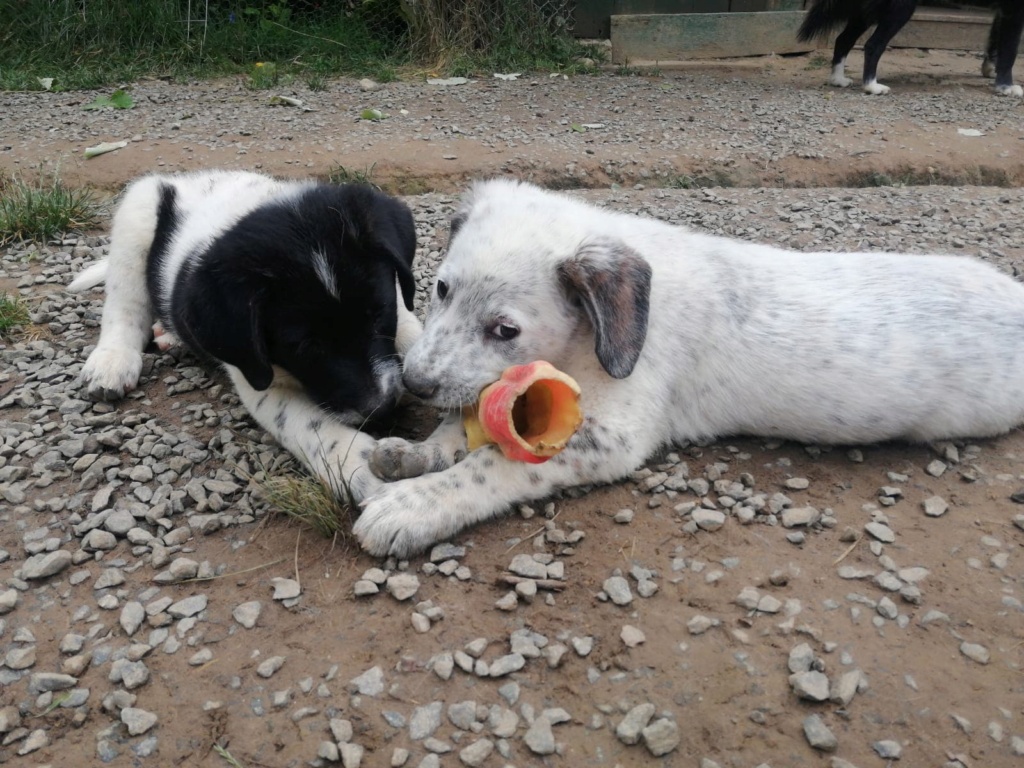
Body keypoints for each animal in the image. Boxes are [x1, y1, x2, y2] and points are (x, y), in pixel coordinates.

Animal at [69, 171, 419, 501]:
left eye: (379, 314)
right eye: (305, 346)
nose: (382, 408)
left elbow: (413, 330)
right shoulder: (256, 376)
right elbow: (310, 423)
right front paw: (361, 463)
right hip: (136, 213)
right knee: (124, 305)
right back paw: (112, 361)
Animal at [798, 0, 1024, 96]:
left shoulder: (1003, 11)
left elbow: (995, 42)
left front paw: (991, 70)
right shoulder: (1014, 9)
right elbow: (1010, 52)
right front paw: (1006, 87)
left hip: (867, 12)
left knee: (843, 40)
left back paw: (837, 79)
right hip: (900, 8)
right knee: (873, 45)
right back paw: (871, 86)